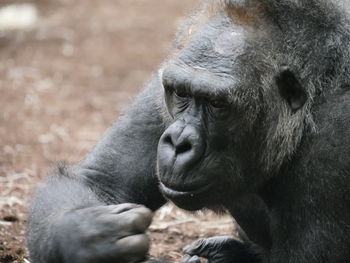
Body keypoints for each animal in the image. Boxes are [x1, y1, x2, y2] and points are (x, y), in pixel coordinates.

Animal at [26, 0, 350, 262]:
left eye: (217, 103)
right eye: (181, 93)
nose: (179, 142)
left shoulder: (333, 145)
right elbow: (98, 182)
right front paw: (89, 236)